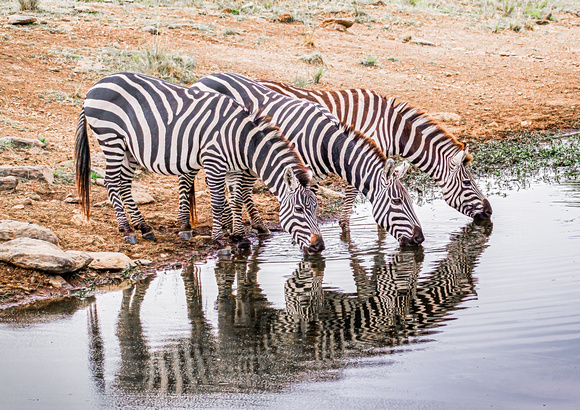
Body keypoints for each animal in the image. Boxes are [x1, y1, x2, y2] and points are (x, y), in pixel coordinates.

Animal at [75, 72, 324, 255]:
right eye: (299, 209)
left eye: (316, 208)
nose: (319, 246)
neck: (241, 140)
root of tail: (95, 86)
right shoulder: (214, 162)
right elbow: (218, 202)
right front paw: (221, 240)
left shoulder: (234, 169)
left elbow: (235, 200)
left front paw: (240, 237)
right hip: (111, 138)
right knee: (111, 182)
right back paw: (126, 229)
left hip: (129, 148)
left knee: (124, 183)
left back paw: (143, 227)